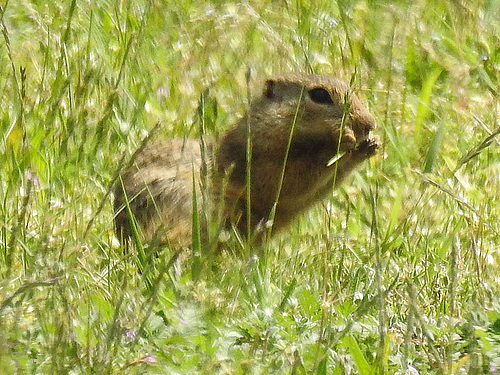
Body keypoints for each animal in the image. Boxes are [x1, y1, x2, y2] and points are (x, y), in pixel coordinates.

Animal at [113, 74, 378, 248]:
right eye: (320, 94)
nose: (370, 123)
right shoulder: (260, 159)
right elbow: (292, 177)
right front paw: (345, 141)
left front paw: (370, 145)